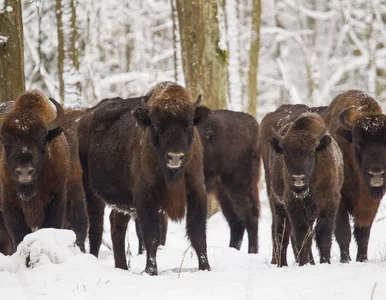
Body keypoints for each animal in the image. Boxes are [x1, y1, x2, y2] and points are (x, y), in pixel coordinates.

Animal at [78, 83, 211, 276]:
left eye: (189, 124)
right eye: (155, 125)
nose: (175, 157)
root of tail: (85, 117)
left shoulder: (197, 193)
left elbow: (198, 235)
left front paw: (205, 268)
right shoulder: (146, 199)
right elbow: (152, 236)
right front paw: (151, 271)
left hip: (122, 201)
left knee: (116, 225)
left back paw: (122, 267)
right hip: (91, 191)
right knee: (96, 227)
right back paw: (95, 260)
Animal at [260, 106, 342, 268]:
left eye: (312, 153)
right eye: (286, 153)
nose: (298, 178)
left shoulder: (330, 204)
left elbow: (323, 237)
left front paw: (325, 263)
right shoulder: (293, 205)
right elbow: (301, 237)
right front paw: (304, 264)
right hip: (277, 202)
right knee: (281, 233)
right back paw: (282, 264)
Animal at [324, 89, 386, 262]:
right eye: (358, 143)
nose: (376, 173)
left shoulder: (371, 203)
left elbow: (363, 233)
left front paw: (362, 259)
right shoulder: (339, 200)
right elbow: (344, 232)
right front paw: (346, 260)